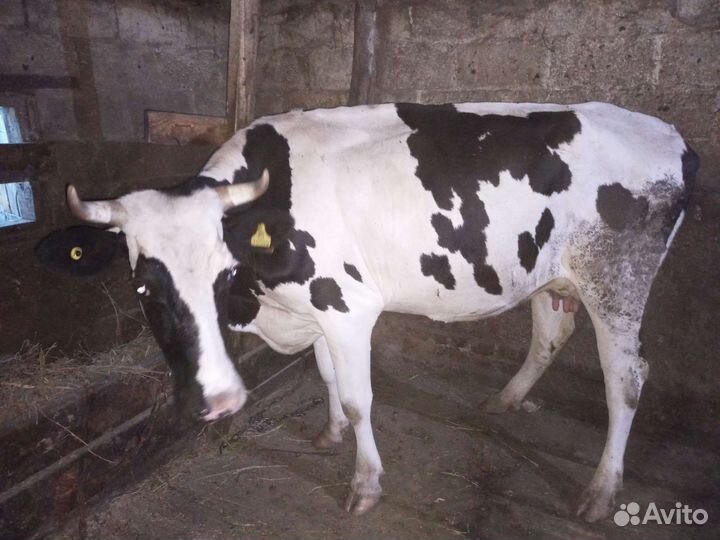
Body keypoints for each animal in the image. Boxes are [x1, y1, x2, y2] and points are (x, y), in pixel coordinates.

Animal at [52, 102, 697, 522]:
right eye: (143, 286)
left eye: (222, 272)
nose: (219, 400)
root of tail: (669, 134)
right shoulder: (316, 311)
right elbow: (327, 377)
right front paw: (329, 432)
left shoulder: (347, 307)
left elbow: (361, 397)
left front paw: (365, 484)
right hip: (548, 275)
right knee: (551, 334)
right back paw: (506, 400)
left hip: (616, 283)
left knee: (626, 379)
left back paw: (601, 491)